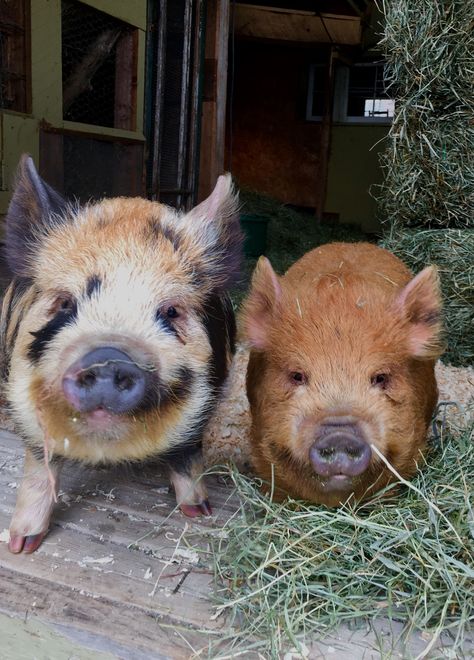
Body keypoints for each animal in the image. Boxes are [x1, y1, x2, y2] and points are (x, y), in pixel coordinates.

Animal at [0, 155, 243, 552]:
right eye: (65, 302)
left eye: (171, 311)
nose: (108, 356)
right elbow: (39, 468)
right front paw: (22, 546)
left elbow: (187, 459)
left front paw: (200, 512)